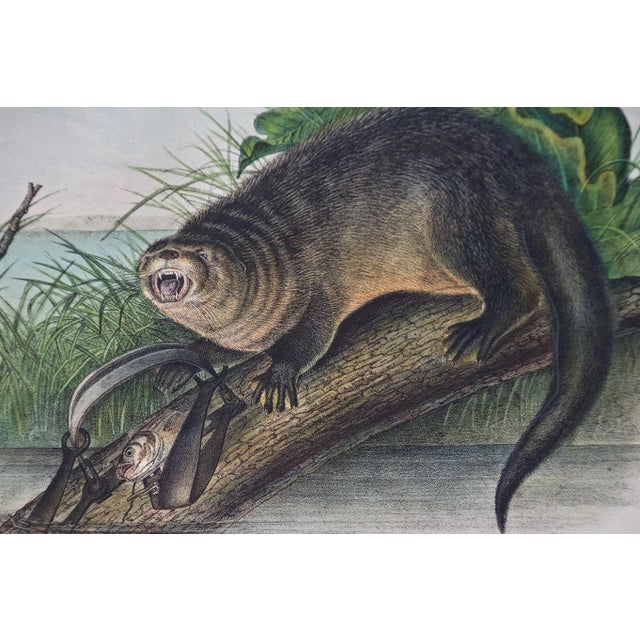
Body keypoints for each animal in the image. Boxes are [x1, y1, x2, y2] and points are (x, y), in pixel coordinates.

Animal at [138, 108, 614, 532]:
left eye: (202, 254)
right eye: (153, 249)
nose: (164, 256)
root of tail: (522, 162)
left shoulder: (314, 284)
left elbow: (313, 335)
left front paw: (278, 375)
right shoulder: (250, 329)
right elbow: (224, 348)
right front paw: (180, 363)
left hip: (459, 215)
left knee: (522, 288)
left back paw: (483, 326)